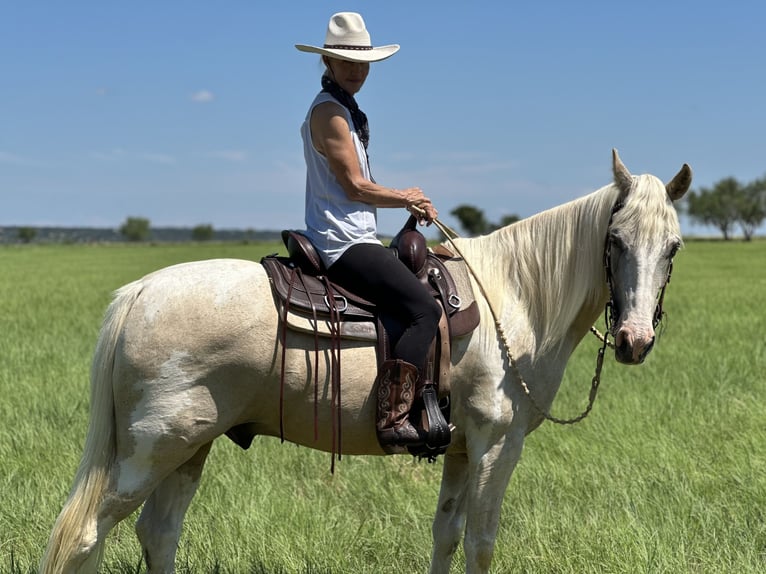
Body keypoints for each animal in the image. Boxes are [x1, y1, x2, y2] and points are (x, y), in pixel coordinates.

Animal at [40, 150, 691, 574]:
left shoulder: (459, 449)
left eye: (673, 247)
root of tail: (140, 293)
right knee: (87, 537)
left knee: (158, 535)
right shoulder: (495, 445)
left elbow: (446, 535)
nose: (634, 340)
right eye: (615, 242)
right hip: (149, 453)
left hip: (189, 448)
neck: (514, 296)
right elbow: (480, 543)